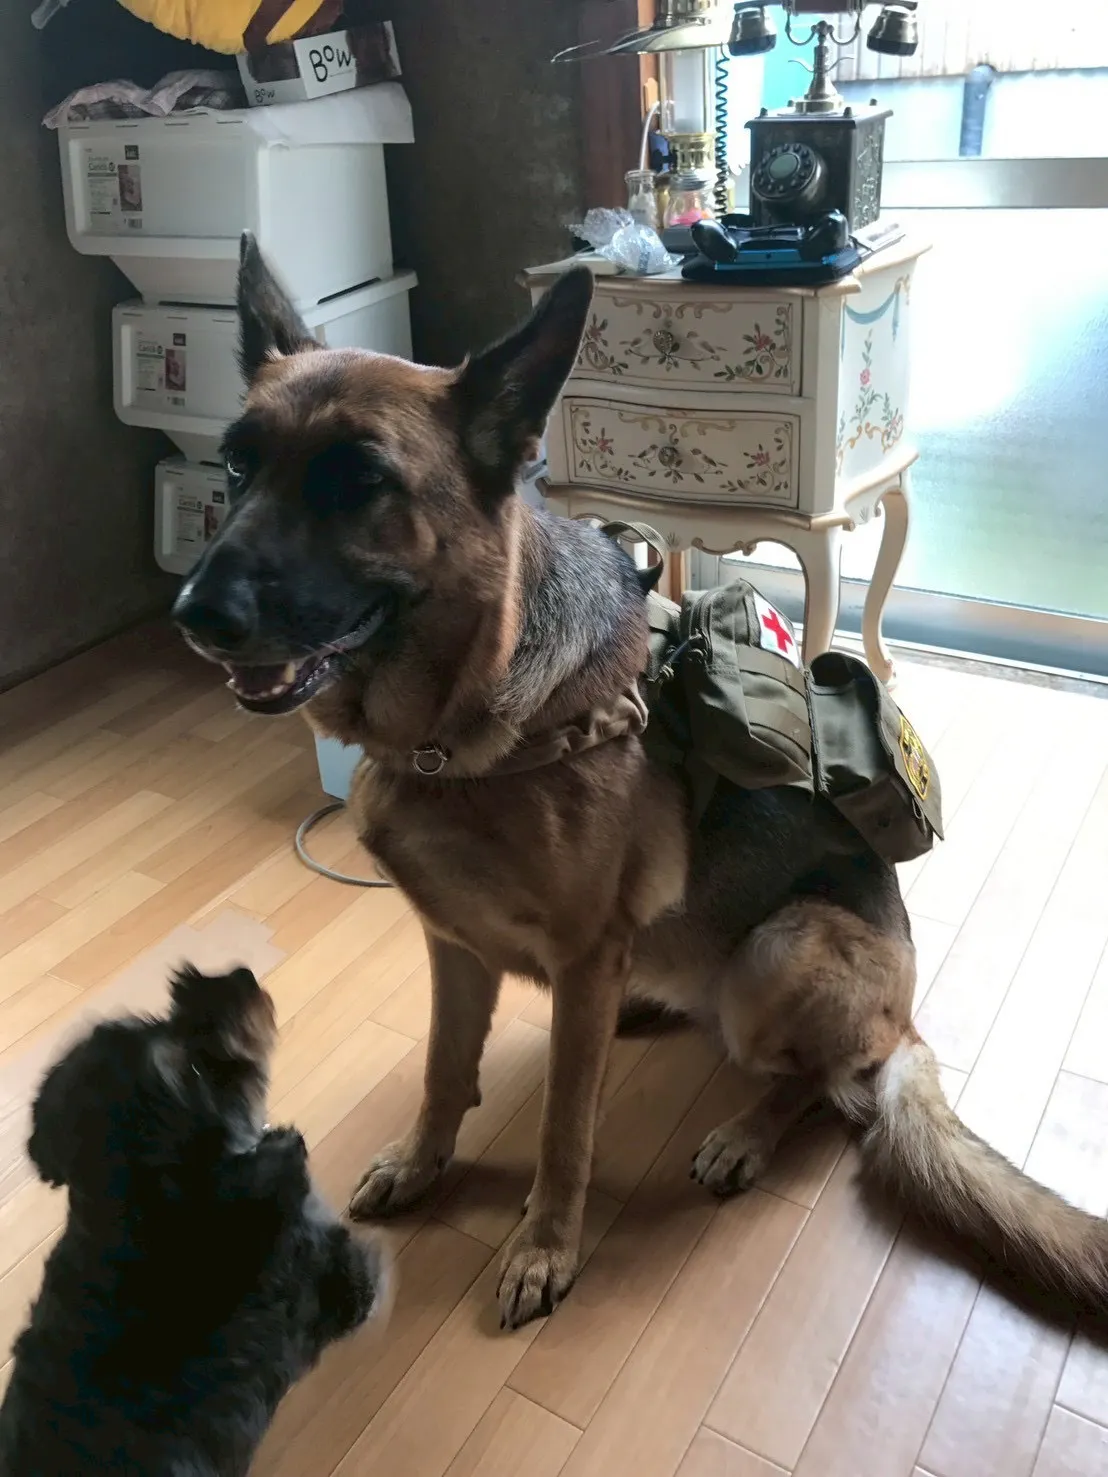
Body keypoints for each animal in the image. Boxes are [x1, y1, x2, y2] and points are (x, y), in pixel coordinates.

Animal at [171, 232, 1108, 1331]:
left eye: (357, 480)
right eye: (236, 464)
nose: (193, 615)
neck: (464, 734)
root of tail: (906, 1018)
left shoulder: (578, 953)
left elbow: (563, 1129)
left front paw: (543, 1246)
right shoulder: (454, 946)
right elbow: (446, 1071)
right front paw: (421, 1161)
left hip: (779, 951)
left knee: (824, 1082)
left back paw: (745, 1131)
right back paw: (648, 1006)